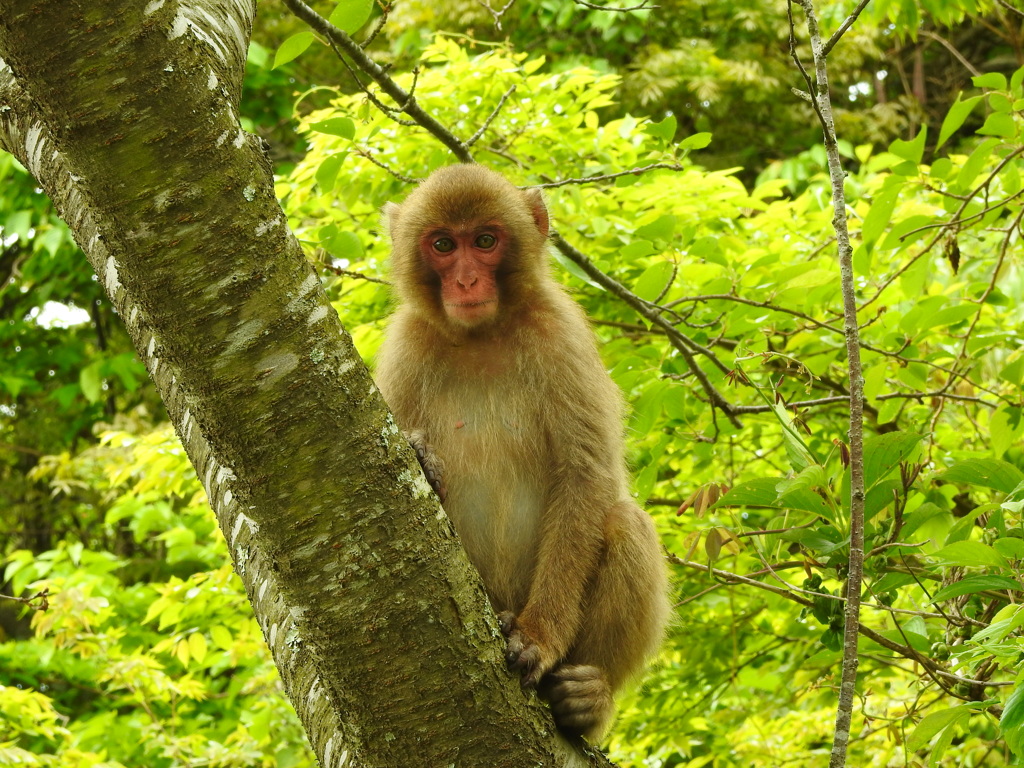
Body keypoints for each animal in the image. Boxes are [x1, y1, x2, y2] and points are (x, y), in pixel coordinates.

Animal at [376, 165, 671, 741]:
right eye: (443, 245)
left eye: (485, 242)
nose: (467, 282)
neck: (480, 335)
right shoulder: (407, 346)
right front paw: (420, 456)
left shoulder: (560, 336)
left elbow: (585, 476)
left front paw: (539, 637)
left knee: (624, 522)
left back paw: (588, 698)